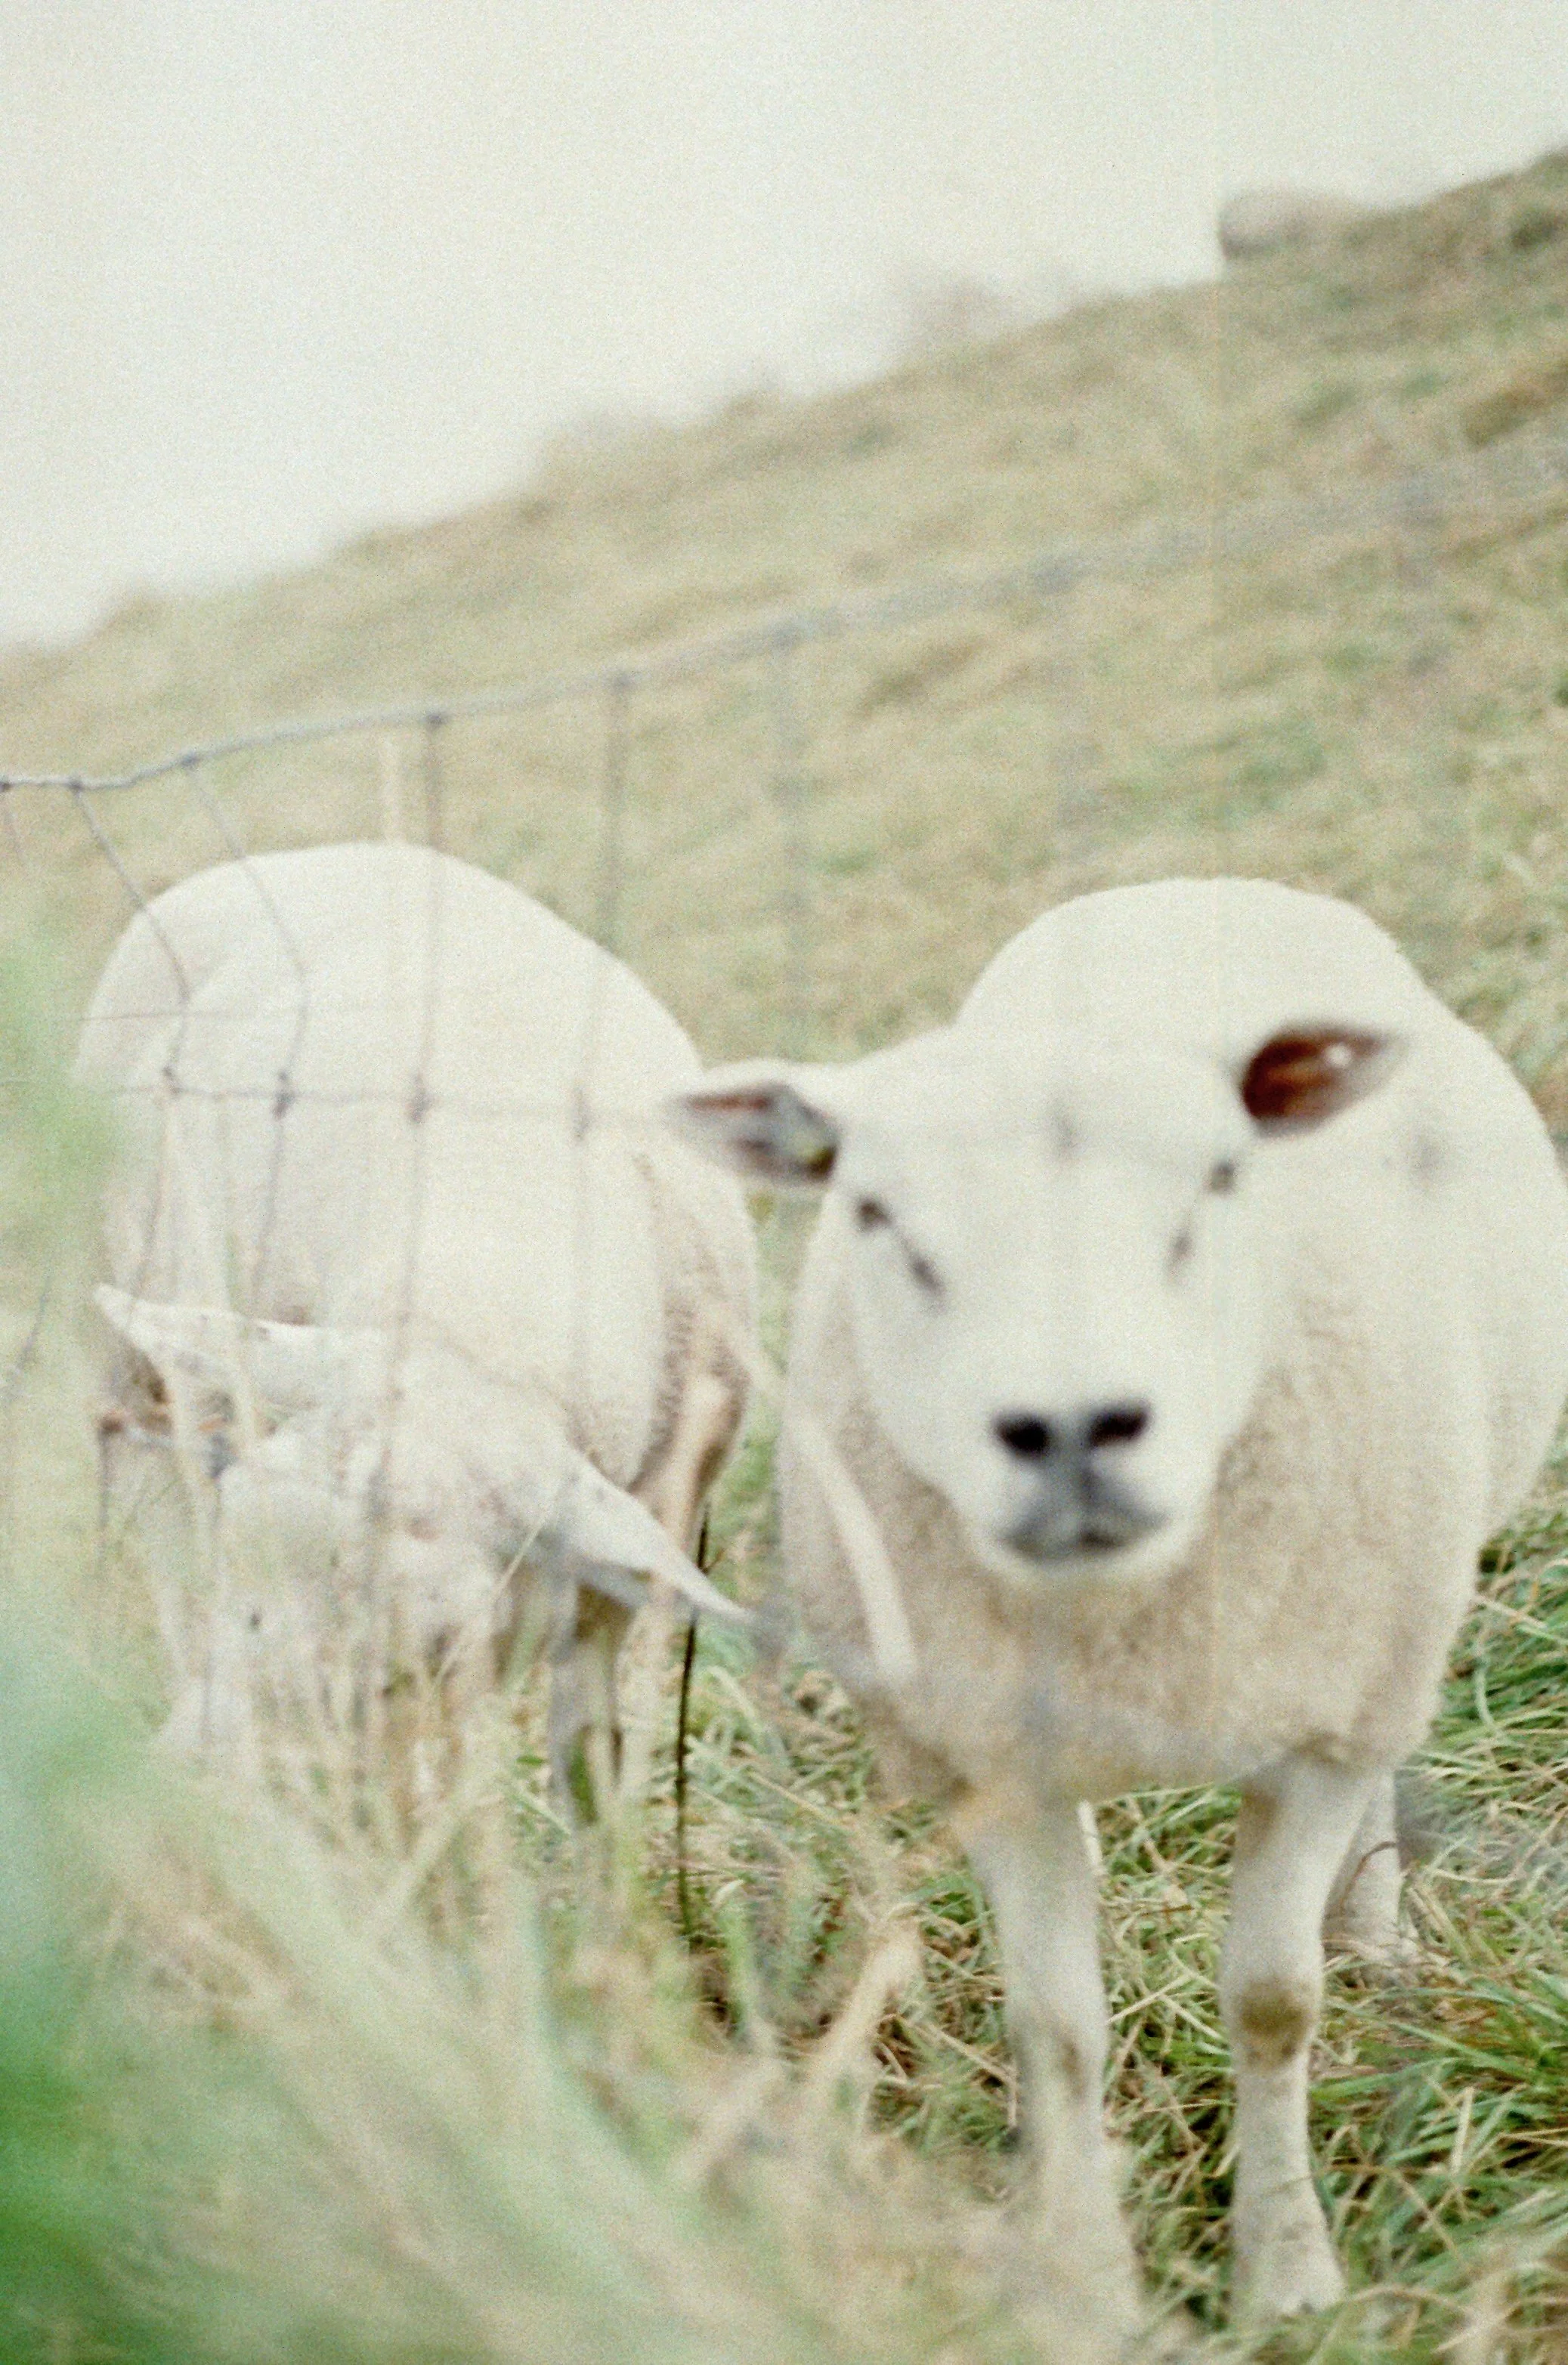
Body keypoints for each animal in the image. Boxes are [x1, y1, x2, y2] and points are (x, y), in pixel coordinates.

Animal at [76, 841, 756, 1795]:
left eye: (437, 1626)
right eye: (242, 1525)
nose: (188, 1785)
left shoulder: (639, 1539)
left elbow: (594, 1762)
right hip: (124, 1344)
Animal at [669, 875, 1568, 2330]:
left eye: (1218, 1179)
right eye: (876, 1217)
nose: (1074, 1429)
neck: (1128, 1625)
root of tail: (1184, 884)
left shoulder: (1315, 1724)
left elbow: (1272, 2001)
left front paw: (1288, 2276)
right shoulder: (991, 1757)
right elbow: (1058, 2028)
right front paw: (1087, 2280)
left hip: (1381, 1628)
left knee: (1385, 1768)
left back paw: (1376, 1936)